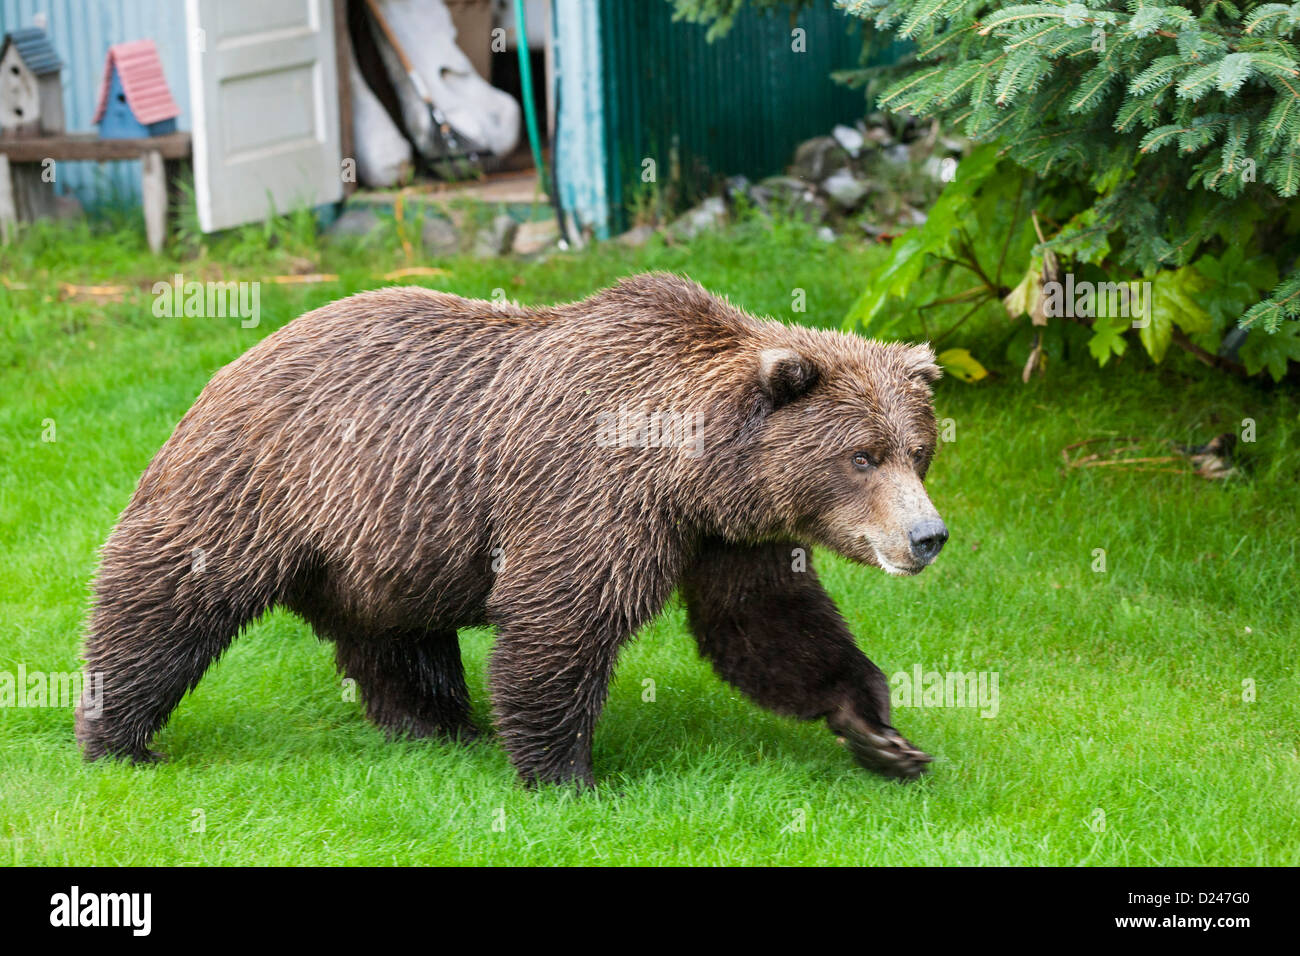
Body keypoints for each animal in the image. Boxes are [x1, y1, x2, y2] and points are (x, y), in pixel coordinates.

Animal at [76, 272, 947, 788]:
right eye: (862, 456)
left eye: (919, 450)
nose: (927, 537)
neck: (690, 470)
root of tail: (238, 357)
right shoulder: (592, 495)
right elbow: (561, 620)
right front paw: (567, 775)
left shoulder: (731, 535)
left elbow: (767, 628)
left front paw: (879, 732)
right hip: (261, 482)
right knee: (169, 593)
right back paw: (118, 734)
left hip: (381, 538)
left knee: (394, 635)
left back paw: (436, 726)